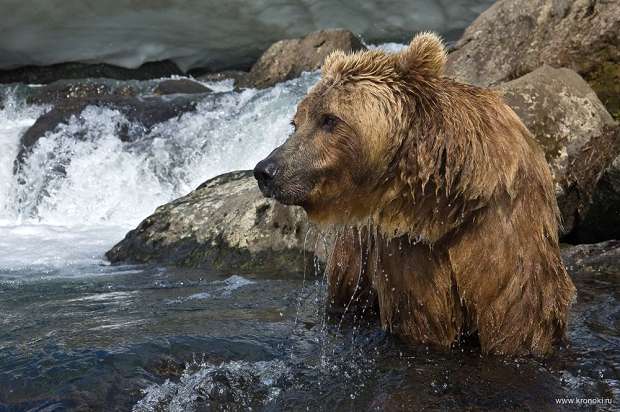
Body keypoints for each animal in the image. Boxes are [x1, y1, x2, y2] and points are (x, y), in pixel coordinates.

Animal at [252, 32, 576, 356]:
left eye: (329, 119)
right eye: (296, 122)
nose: (265, 170)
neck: (447, 203)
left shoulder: (504, 232)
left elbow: (517, 320)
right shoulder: (410, 254)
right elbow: (423, 321)